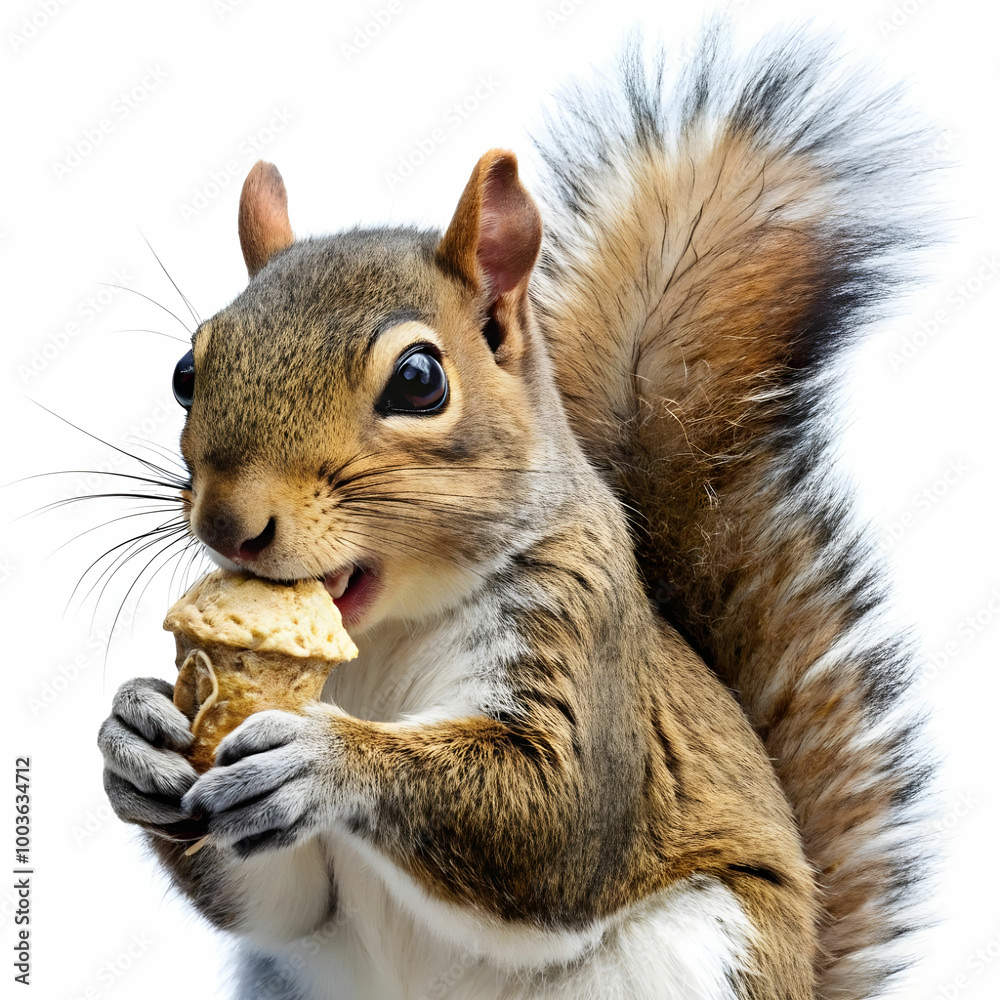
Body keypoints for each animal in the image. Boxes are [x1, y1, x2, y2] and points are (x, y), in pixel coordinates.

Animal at [97, 28, 931, 1000]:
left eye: (420, 379)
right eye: (187, 370)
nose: (231, 524)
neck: (381, 640)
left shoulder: (581, 637)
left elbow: (553, 824)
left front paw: (325, 760)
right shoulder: (278, 884)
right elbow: (280, 897)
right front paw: (135, 732)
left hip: (702, 951)